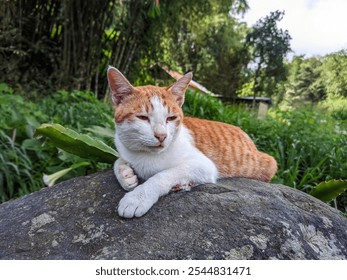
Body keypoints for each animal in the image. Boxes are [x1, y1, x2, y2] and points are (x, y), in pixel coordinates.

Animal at [107, 66, 278, 219]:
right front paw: (125, 175)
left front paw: (138, 197)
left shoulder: (203, 165)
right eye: (142, 117)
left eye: (171, 118)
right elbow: (117, 161)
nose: (162, 136)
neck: (145, 156)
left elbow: (164, 175)